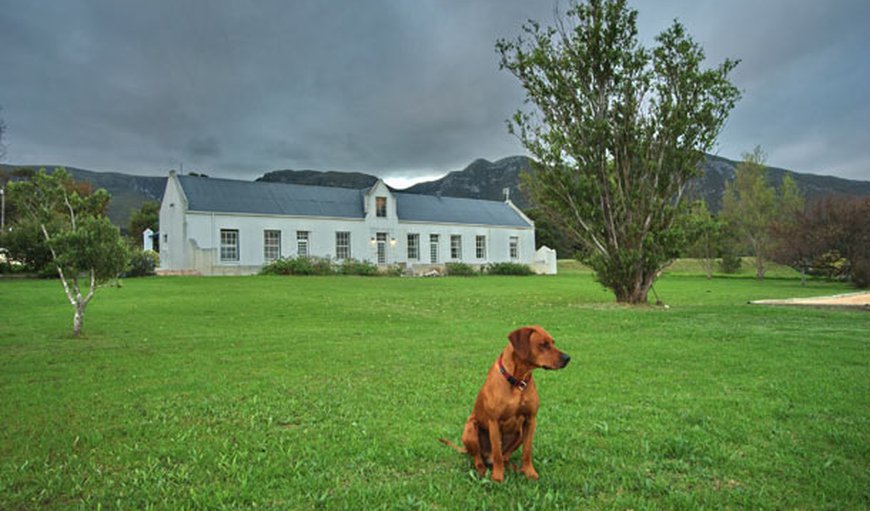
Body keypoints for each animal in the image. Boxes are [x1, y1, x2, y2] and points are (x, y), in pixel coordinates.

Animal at [442, 326, 572, 482]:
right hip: (470, 428)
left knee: (505, 457)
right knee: (479, 456)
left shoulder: (531, 420)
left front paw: (530, 472)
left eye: (553, 342)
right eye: (543, 344)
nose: (567, 358)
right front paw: (498, 477)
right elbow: (497, 453)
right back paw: (482, 469)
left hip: (519, 433)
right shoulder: (494, 422)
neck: (517, 380)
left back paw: (513, 467)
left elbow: (527, 452)